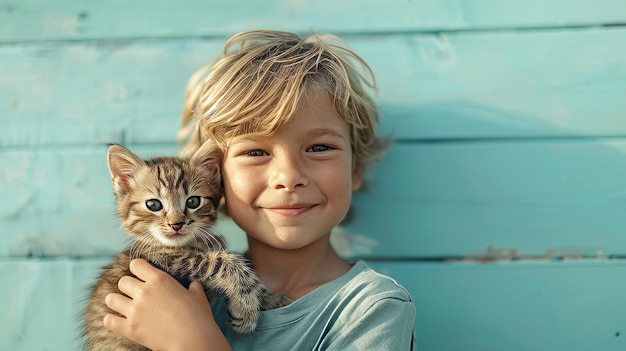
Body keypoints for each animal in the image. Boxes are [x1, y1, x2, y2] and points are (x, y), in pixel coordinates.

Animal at [81, 143, 292, 351]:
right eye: (153, 204)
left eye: (193, 201)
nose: (177, 224)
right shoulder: (165, 261)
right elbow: (221, 262)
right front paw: (245, 308)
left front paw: (273, 298)